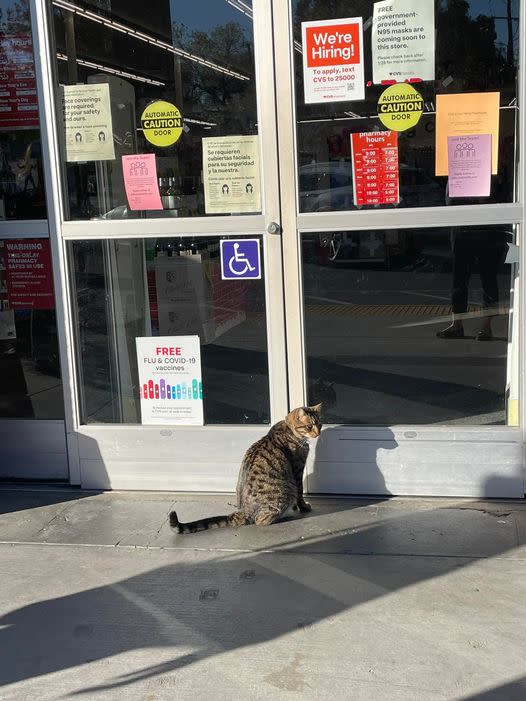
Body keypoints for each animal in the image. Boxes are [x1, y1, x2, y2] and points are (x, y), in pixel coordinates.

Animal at [171, 404, 324, 532]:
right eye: (309, 426)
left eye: (320, 424)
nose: (318, 433)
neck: (289, 430)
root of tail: (242, 512)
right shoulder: (297, 470)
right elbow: (300, 493)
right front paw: (303, 507)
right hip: (288, 491)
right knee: (260, 520)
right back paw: (285, 516)